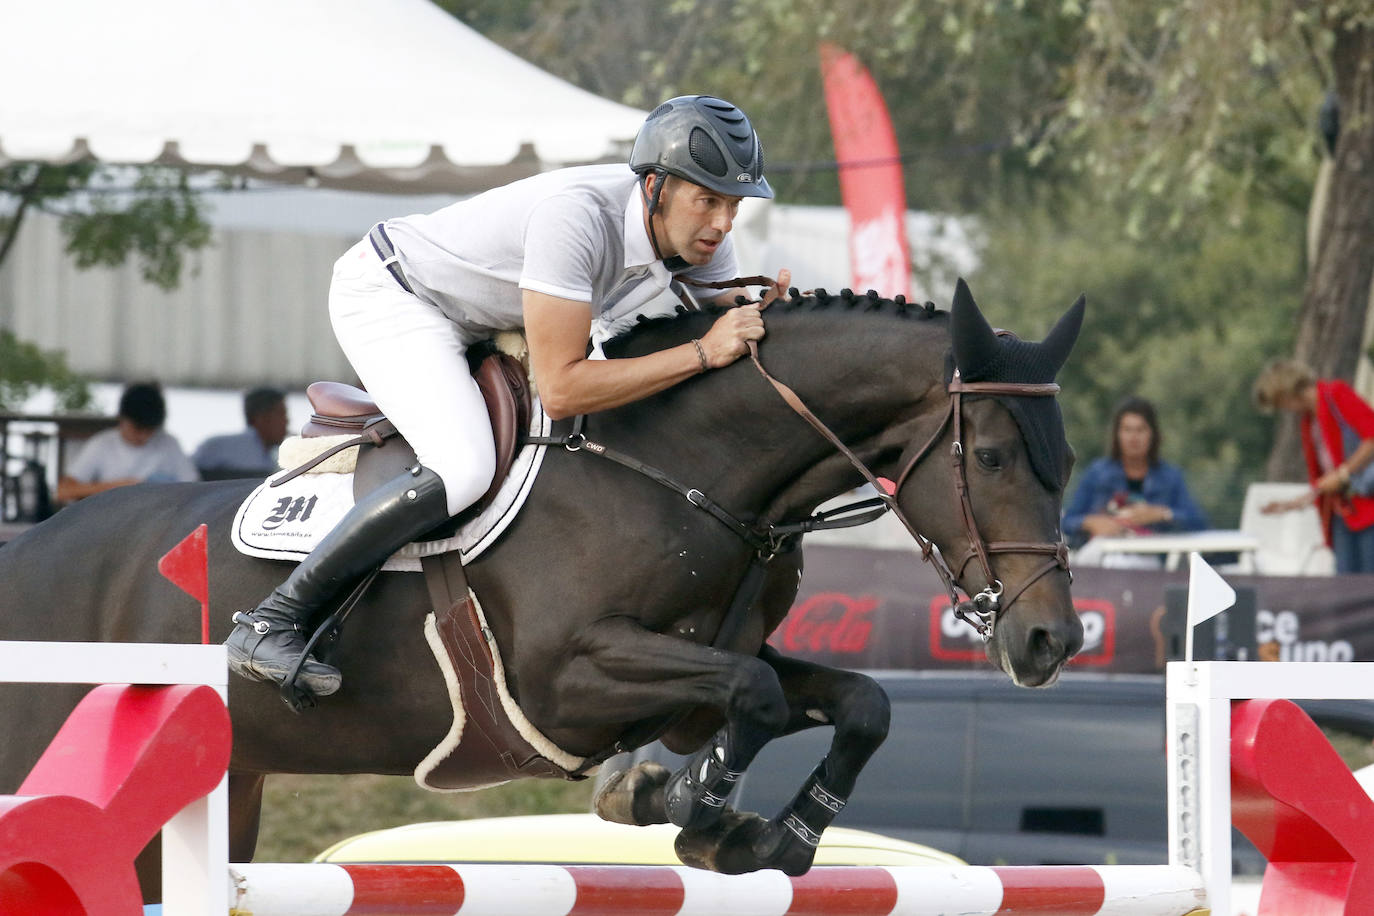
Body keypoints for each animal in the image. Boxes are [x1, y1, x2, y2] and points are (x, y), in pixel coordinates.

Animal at [0, 277, 1082, 895]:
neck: (684, 464)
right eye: (990, 456)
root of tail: (28, 548)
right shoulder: (566, 679)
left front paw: (766, 835)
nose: (1051, 642)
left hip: (236, 784)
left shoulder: (706, 667)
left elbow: (855, 701)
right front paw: (689, 809)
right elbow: (760, 697)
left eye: (1066, 459)